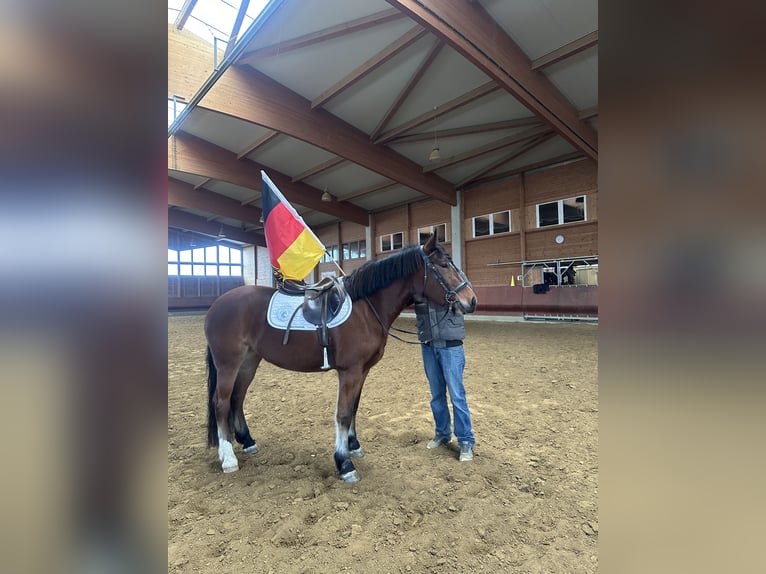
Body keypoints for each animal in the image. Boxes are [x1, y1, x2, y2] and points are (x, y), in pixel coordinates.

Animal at [204, 234, 477, 483]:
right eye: (444, 265)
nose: (471, 300)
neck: (365, 308)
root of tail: (216, 305)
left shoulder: (363, 371)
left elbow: (354, 408)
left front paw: (353, 446)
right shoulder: (350, 371)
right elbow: (343, 414)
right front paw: (344, 463)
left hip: (249, 361)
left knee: (237, 399)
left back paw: (247, 441)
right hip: (228, 364)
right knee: (221, 402)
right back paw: (228, 458)